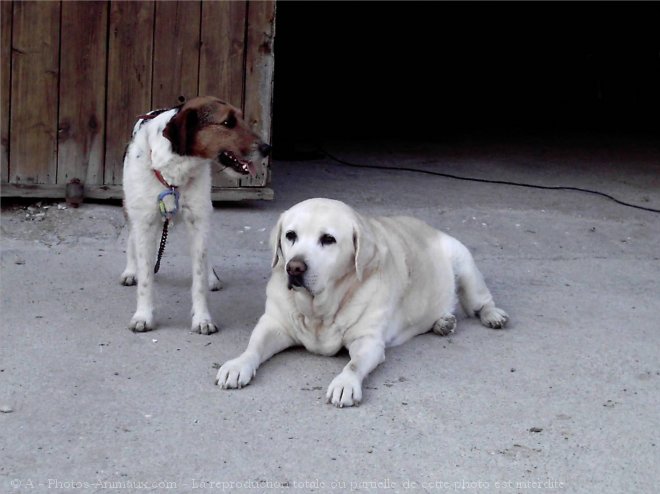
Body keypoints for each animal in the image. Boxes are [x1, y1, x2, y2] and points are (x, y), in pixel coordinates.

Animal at [121, 97, 270, 334]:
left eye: (241, 118)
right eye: (227, 122)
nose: (267, 148)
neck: (175, 172)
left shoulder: (198, 220)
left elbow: (199, 277)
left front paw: (202, 319)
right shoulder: (144, 221)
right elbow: (145, 278)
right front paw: (143, 315)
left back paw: (212, 277)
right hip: (131, 210)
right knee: (131, 239)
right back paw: (130, 271)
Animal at [214, 199, 508, 408]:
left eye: (328, 239)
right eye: (290, 235)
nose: (294, 268)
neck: (319, 310)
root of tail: (431, 228)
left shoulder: (368, 341)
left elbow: (354, 364)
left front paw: (345, 383)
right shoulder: (274, 324)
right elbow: (253, 347)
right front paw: (238, 365)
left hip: (465, 264)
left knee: (481, 301)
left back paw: (493, 315)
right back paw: (443, 322)